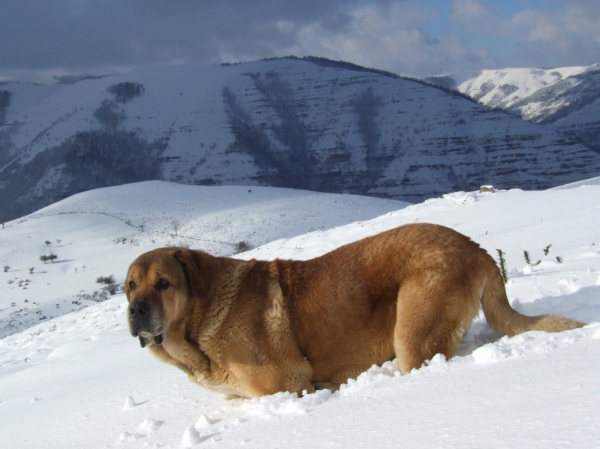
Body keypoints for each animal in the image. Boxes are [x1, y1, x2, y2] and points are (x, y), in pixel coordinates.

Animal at [125, 223, 580, 396]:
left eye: (163, 283)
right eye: (130, 286)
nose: (136, 311)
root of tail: (475, 248)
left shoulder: (286, 385)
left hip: (412, 333)